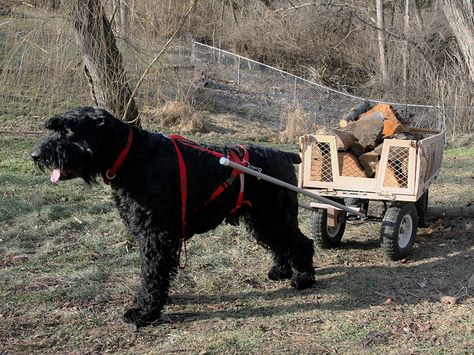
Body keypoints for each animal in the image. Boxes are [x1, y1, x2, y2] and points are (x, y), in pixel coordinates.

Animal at [32, 108, 314, 328]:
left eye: (69, 131)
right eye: (55, 128)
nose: (35, 154)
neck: (133, 157)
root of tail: (285, 155)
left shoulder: (154, 234)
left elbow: (152, 271)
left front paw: (145, 311)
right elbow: (156, 270)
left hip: (276, 215)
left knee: (301, 243)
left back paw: (303, 278)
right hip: (262, 219)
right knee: (280, 244)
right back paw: (280, 270)